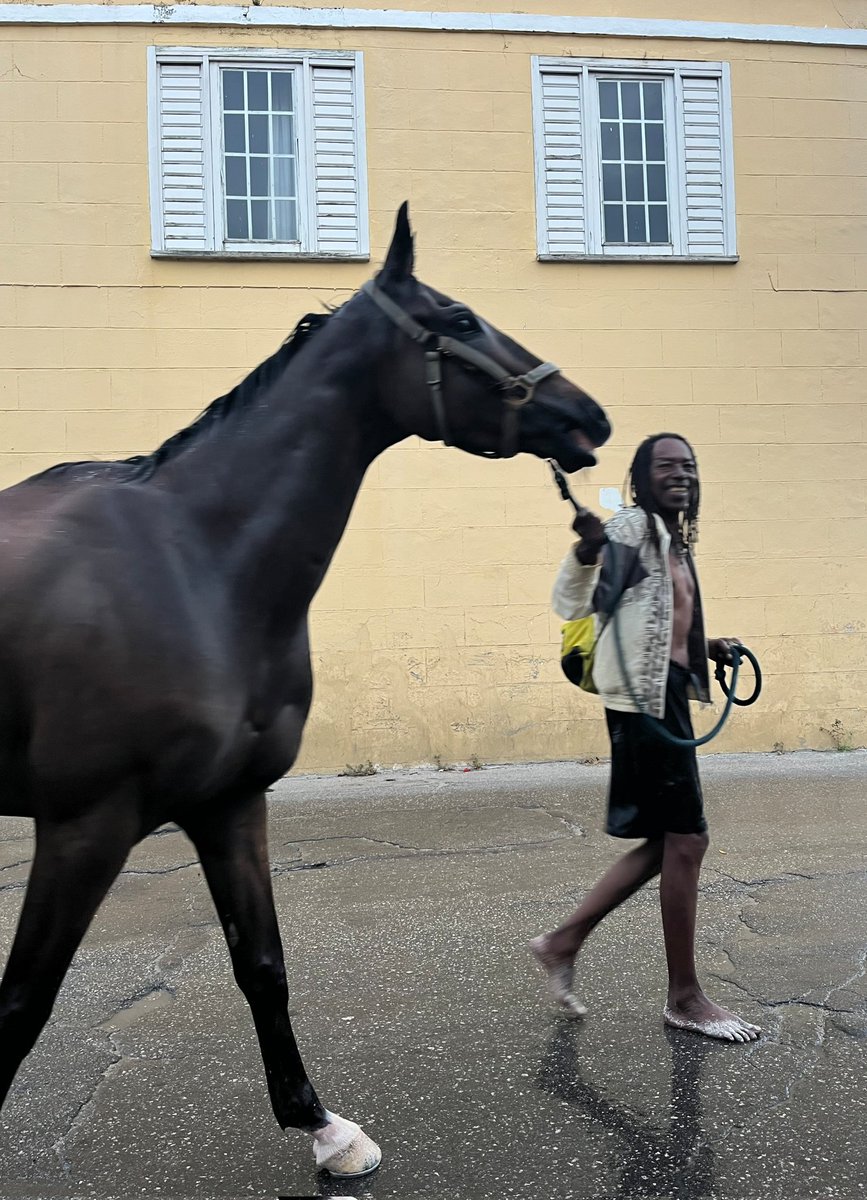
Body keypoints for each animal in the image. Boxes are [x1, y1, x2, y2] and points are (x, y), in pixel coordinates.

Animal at [0, 203, 610, 1179]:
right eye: (460, 318)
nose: (588, 415)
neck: (195, 563)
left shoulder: (229, 804)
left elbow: (262, 965)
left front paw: (323, 1128)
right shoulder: (83, 826)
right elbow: (24, 1002)